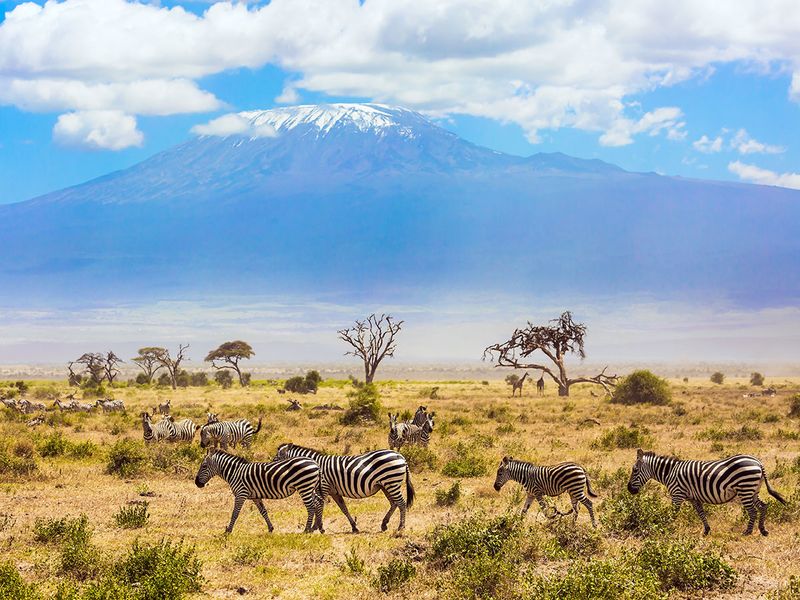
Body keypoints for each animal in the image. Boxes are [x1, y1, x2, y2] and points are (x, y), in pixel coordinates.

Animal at [194, 450, 322, 536]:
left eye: (204, 466)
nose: (197, 483)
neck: (235, 472)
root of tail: (315, 463)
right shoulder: (255, 497)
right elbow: (263, 512)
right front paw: (270, 528)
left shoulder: (241, 494)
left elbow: (235, 513)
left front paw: (228, 531)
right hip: (310, 487)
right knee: (317, 504)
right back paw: (318, 528)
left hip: (304, 486)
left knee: (311, 507)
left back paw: (306, 530)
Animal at [276, 440, 416, 536]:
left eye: (276, 458)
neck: (314, 465)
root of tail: (401, 457)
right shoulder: (334, 492)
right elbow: (343, 508)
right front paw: (354, 527)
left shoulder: (324, 487)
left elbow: (320, 506)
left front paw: (315, 527)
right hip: (385, 485)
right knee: (394, 503)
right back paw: (384, 524)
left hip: (391, 482)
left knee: (401, 503)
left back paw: (400, 527)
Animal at [624, 448, 788, 536]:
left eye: (635, 470)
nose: (629, 490)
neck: (670, 472)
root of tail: (758, 462)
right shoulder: (693, 498)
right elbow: (701, 513)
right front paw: (707, 530)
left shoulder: (677, 494)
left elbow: (673, 513)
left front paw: (666, 527)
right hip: (753, 490)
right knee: (763, 506)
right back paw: (763, 530)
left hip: (745, 489)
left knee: (753, 511)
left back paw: (747, 532)